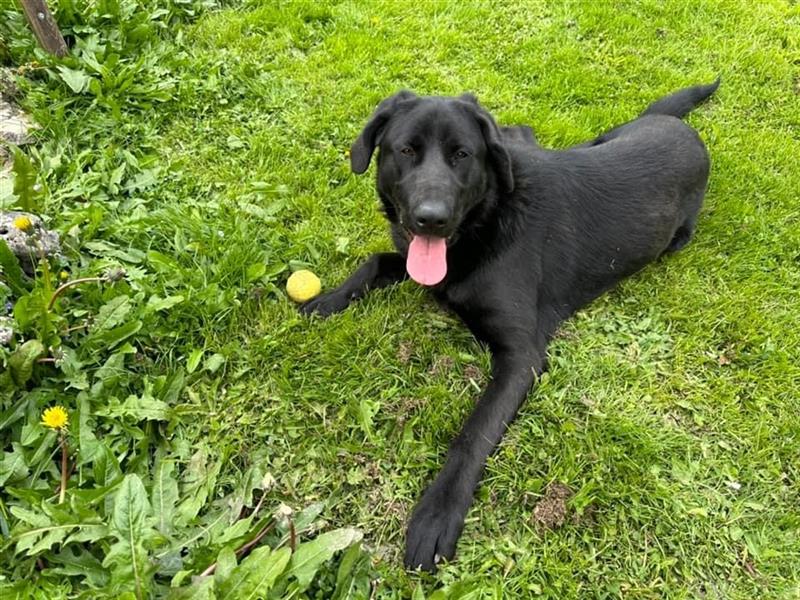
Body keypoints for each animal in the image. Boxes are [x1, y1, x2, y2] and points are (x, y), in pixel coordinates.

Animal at [300, 79, 720, 572]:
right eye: (405, 150)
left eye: (463, 154)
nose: (431, 218)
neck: (486, 218)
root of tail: (678, 127)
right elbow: (374, 261)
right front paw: (325, 301)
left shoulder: (523, 356)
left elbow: (473, 434)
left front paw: (438, 512)